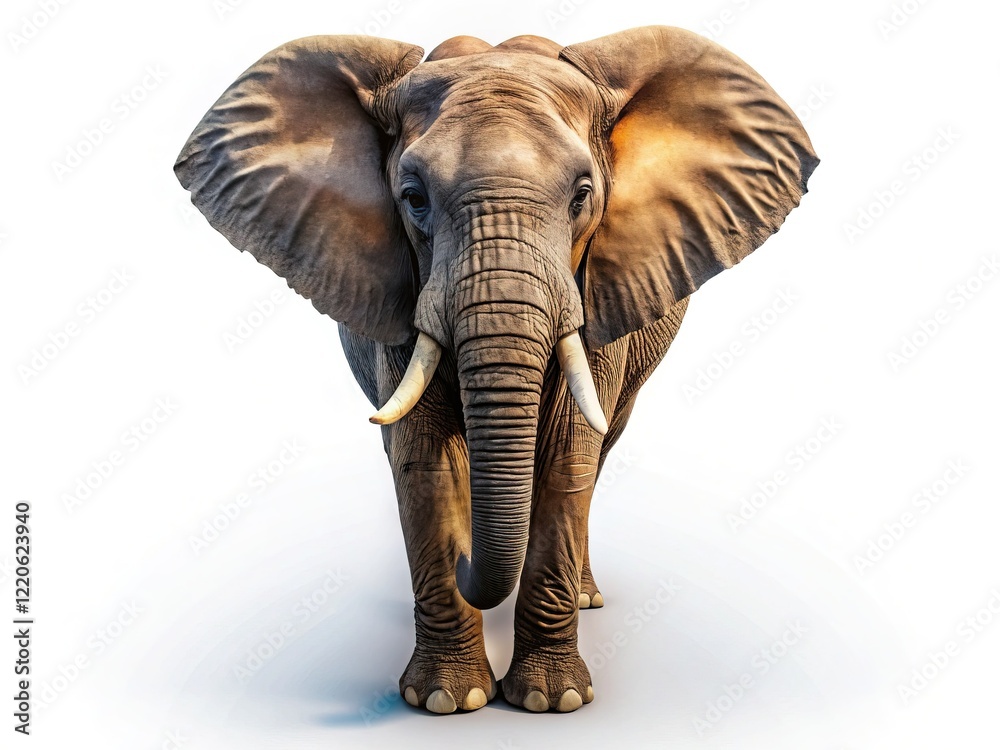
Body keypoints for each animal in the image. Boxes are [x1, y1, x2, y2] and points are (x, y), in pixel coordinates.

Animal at [174, 26, 817, 714]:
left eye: (582, 196)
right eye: (413, 198)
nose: (465, 563)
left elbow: (566, 455)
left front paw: (551, 701)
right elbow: (424, 462)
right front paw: (445, 701)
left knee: (600, 449)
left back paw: (585, 598)